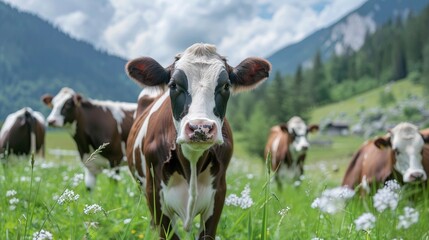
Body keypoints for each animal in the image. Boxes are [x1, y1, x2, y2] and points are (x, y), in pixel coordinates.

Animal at [125, 43, 270, 240]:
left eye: (226, 85)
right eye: (173, 85)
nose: (200, 127)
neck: (192, 163)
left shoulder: (218, 194)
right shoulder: (153, 193)